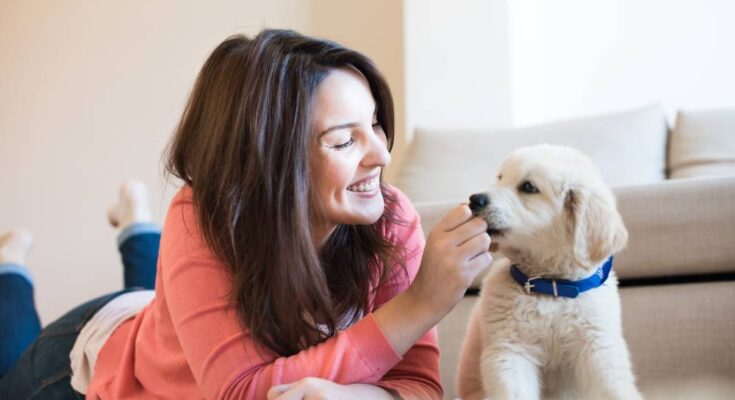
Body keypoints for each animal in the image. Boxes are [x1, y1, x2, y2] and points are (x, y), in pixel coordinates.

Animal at [458, 145, 640, 400]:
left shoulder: (597, 347)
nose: (474, 199)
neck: (551, 285)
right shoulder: (510, 350)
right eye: (500, 177)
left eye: (528, 187)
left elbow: (613, 389)